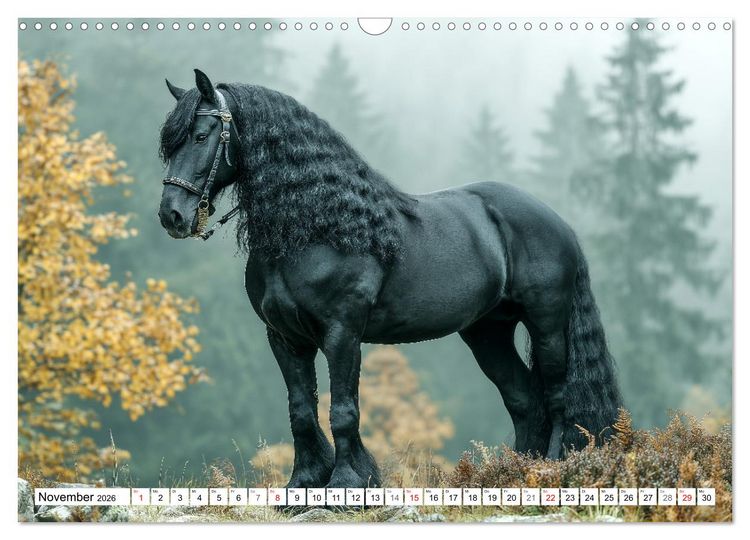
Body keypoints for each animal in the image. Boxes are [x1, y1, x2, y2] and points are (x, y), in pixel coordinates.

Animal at [157, 69, 623, 489]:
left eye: (201, 135)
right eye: (169, 143)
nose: (172, 215)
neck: (319, 225)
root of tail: (557, 221)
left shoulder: (342, 332)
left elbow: (343, 410)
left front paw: (347, 483)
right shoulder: (284, 337)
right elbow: (301, 410)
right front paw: (302, 484)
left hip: (546, 324)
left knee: (558, 396)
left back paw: (551, 470)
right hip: (487, 332)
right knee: (524, 399)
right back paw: (514, 475)